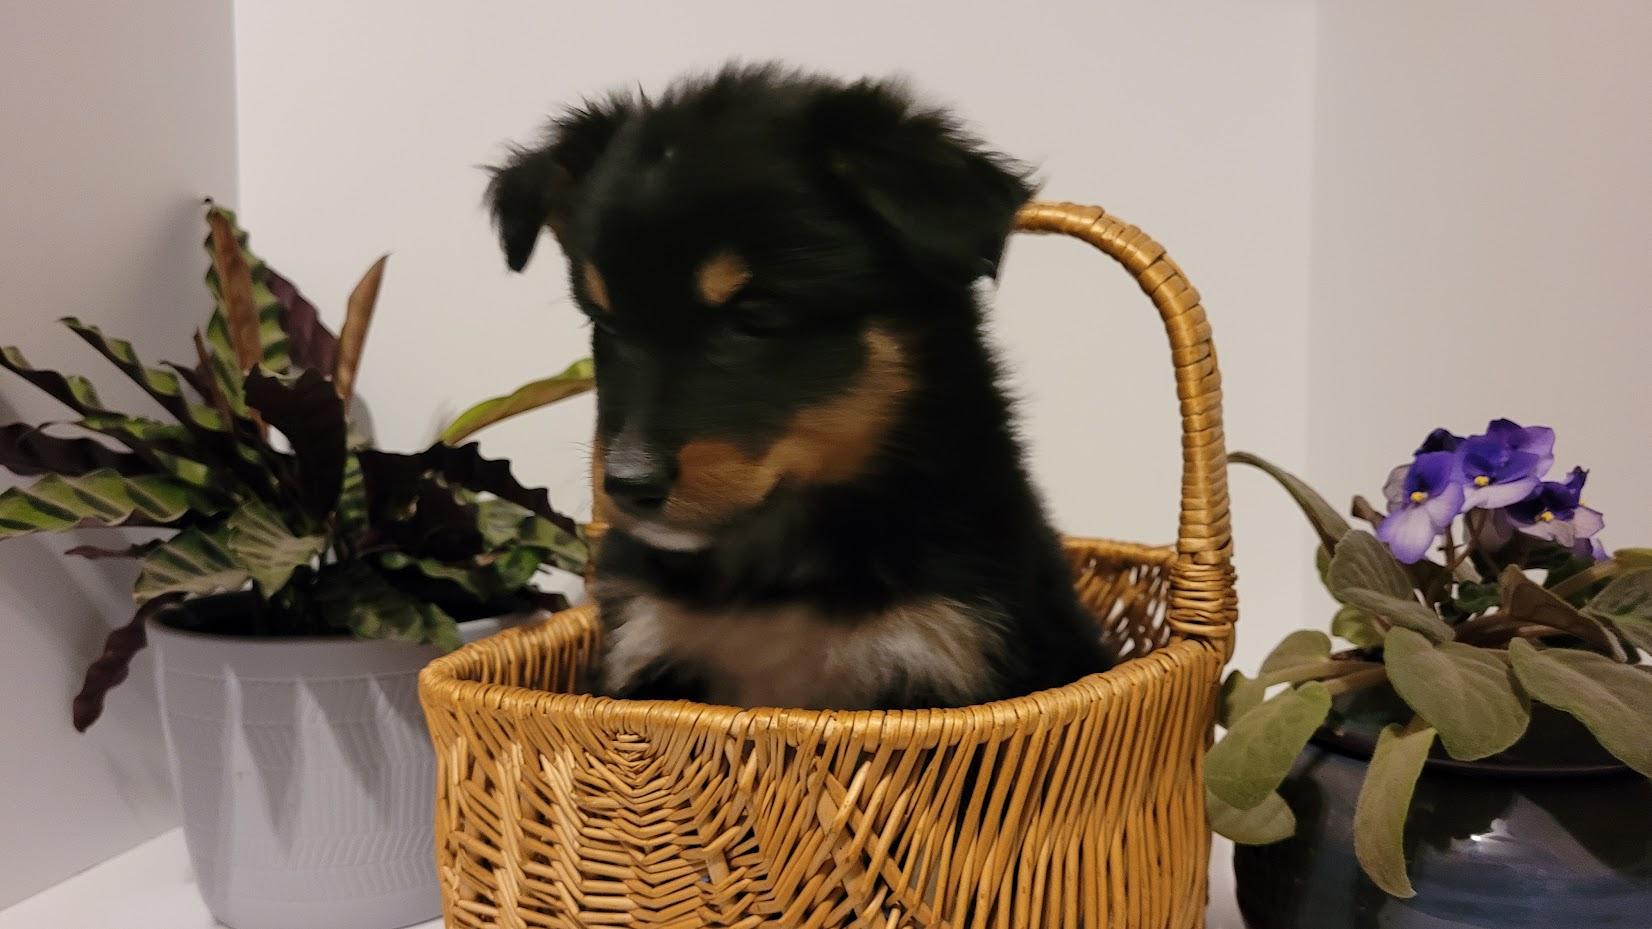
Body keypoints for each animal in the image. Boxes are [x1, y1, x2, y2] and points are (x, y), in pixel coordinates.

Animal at [486, 65, 1112, 710]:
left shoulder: (942, 652)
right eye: (605, 323)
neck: (774, 574)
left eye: (756, 317)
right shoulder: (645, 646)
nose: (627, 486)